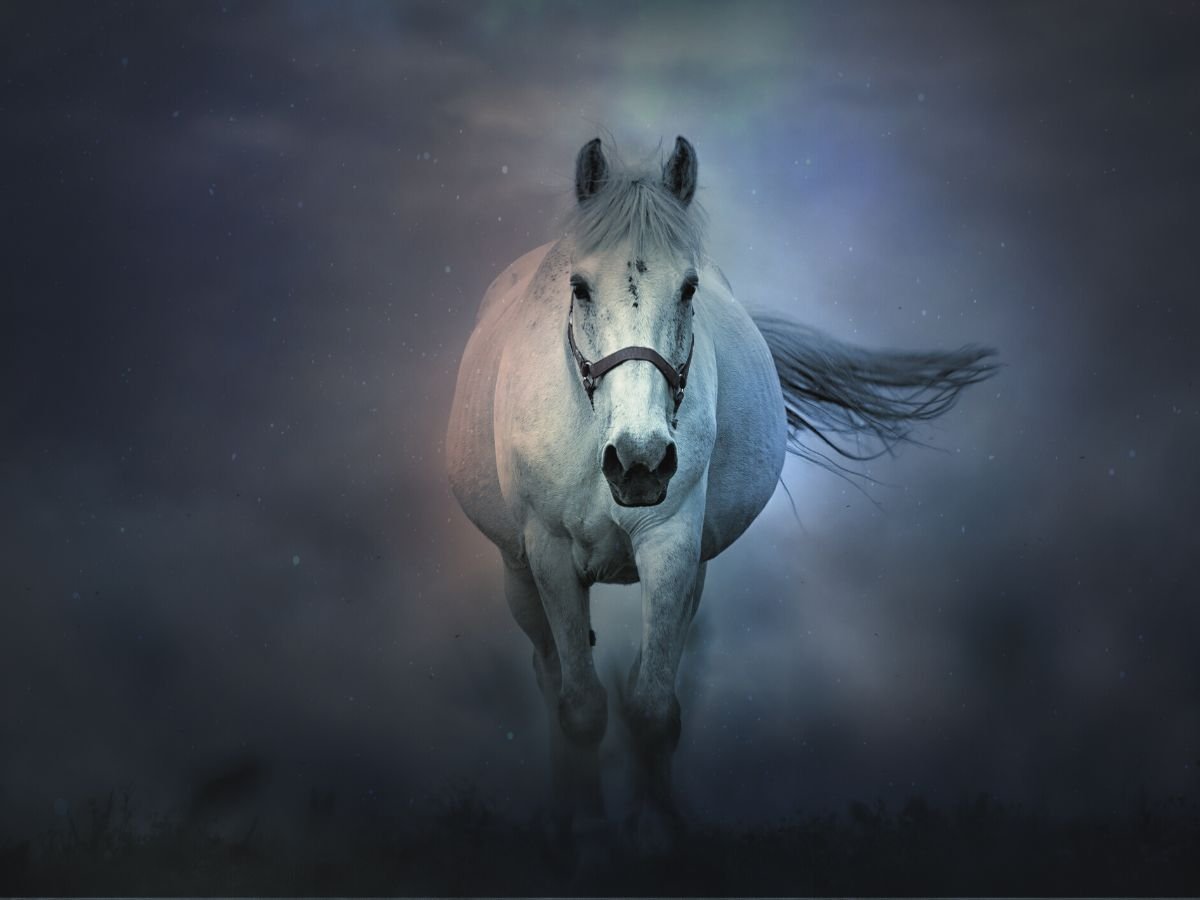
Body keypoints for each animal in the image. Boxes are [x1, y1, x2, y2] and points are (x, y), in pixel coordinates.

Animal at [445, 135, 996, 856]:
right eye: (579, 287)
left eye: (688, 287)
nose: (640, 463)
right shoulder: (550, 555)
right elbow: (581, 706)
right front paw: (587, 832)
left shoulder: (674, 546)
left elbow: (652, 707)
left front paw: (656, 830)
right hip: (518, 573)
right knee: (549, 675)